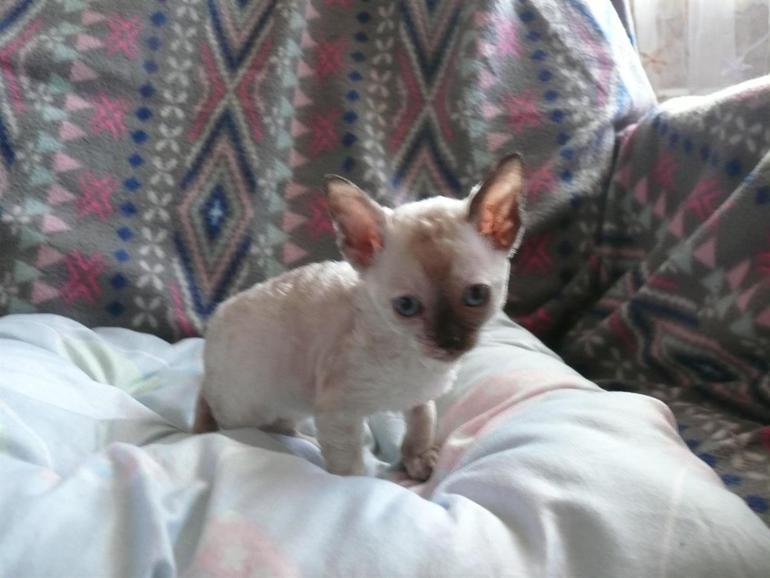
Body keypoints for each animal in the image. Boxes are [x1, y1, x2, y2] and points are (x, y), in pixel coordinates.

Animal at [193, 153, 525, 480]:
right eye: (406, 306)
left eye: (476, 296)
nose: (450, 341)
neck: (415, 360)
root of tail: (214, 325)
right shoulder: (338, 415)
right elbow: (349, 472)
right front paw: (367, 484)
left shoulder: (420, 397)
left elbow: (423, 422)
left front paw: (419, 460)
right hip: (247, 407)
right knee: (222, 413)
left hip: (290, 403)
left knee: (278, 426)